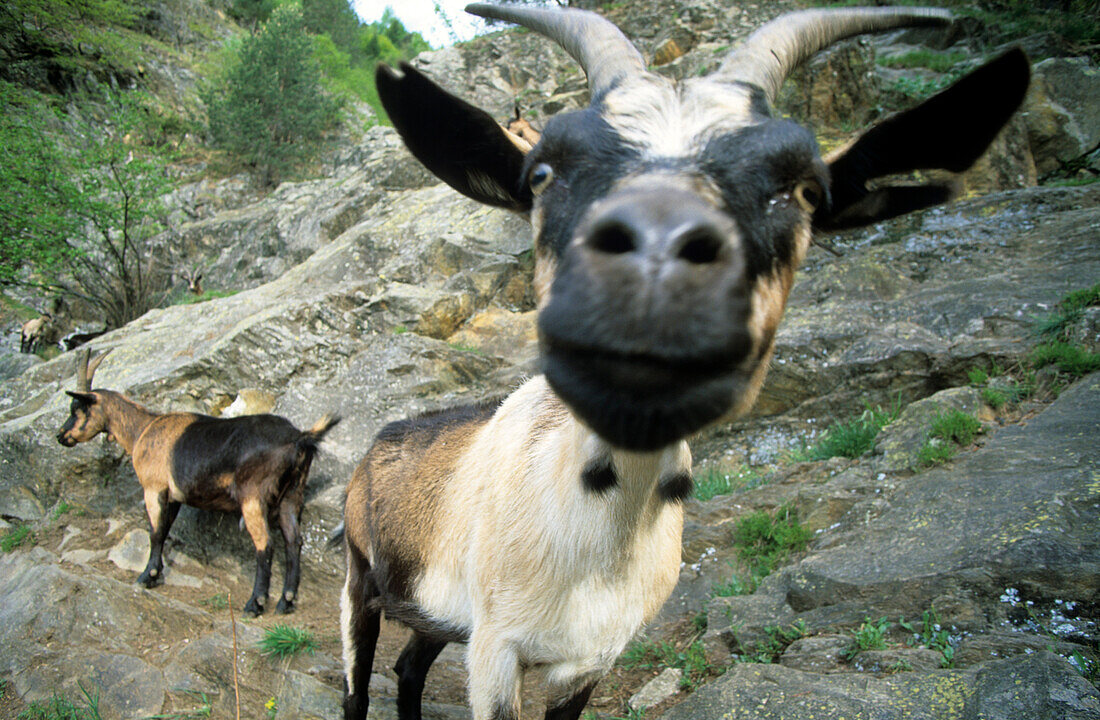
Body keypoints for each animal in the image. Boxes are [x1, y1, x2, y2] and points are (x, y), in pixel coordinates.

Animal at [55, 349, 336, 615]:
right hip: (292, 494)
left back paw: (254, 603)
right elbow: (165, 529)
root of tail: (300, 438)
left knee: (265, 545)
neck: (142, 430)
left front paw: (146, 577)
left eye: (77, 409)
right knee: (293, 541)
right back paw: (285, 601)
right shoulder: (174, 496)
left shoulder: (153, 488)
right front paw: (155, 574)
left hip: (253, 496)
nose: (61, 435)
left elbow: (155, 532)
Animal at [336, 5, 1029, 720]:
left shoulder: (591, 661)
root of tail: (375, 447)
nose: (655, 271)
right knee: (360, 681)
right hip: (359, 580)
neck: (595, 542)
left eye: (806, 191)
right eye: (542, 174)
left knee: (409, 668)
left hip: (431, 614)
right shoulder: (495, 651)